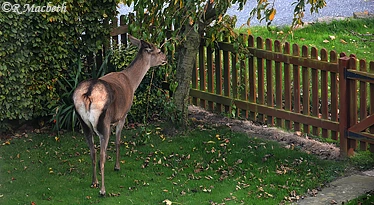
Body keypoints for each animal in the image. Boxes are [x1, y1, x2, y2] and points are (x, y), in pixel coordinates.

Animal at [72, 34, 167, 195]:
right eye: (159, 50)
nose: (166, 58)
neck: (132, 82)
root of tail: (88, 93)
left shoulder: (111, 120)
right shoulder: (123, 115)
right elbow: (117, 141)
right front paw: (117, 166)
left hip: (83, 122)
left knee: (92, 152)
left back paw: (94, 182)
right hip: (102, 121)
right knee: (101, 155)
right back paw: (103, 190)